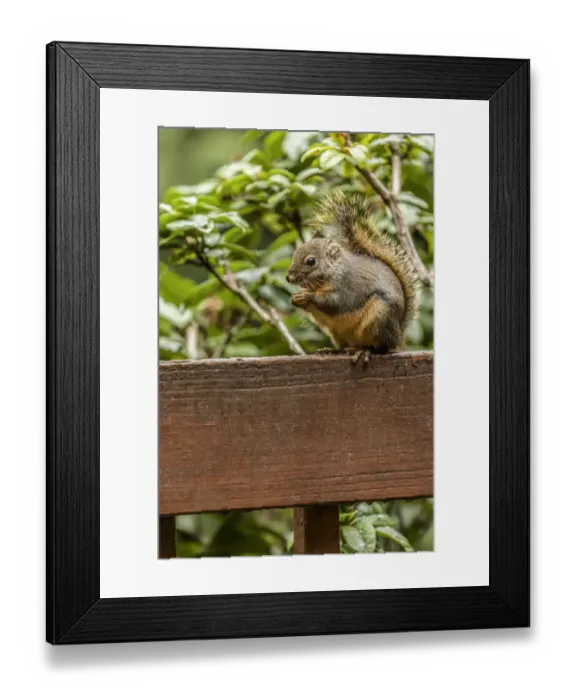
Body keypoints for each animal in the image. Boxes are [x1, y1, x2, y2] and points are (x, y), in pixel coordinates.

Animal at [286, 190, 421, 364]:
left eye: (311, 261)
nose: (289, 277)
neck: (332, 272)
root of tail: (399, 334)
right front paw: (296, 298)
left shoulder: (348, 284)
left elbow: (337, 302)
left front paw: (307, 296)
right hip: (338, 333)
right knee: (345, 346)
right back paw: (332, 350)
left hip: (380, 318)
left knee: (381, 348)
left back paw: (366, 351)